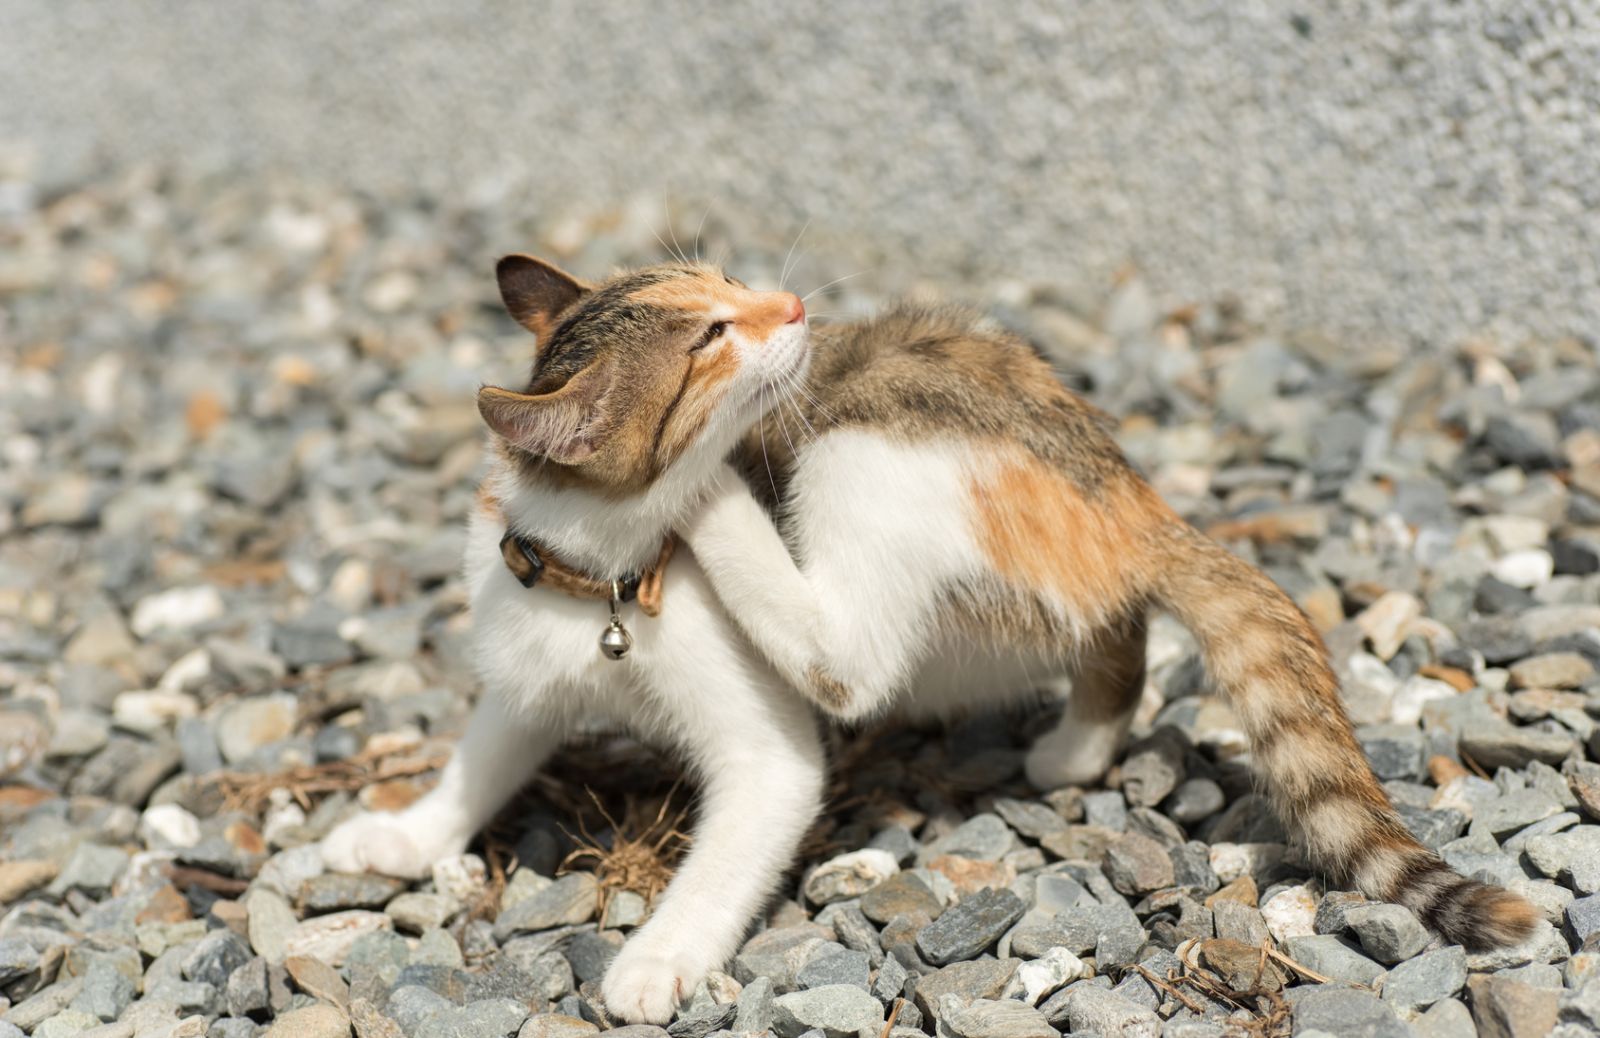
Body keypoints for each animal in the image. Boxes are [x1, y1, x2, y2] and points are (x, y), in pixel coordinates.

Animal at [321, 252, 1536, 1017]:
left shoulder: (769, 756)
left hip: (862, 454)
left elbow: (729, 852)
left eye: (726, 282)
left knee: (850, 659)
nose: (792, 304)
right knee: (1113, 626)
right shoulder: (524, 670)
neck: (604, 584)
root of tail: (1123, 487)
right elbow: (481, 759)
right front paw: (405, 836)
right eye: (710, 334)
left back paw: (718, 493)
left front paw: (658, 958)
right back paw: (1078, 748)